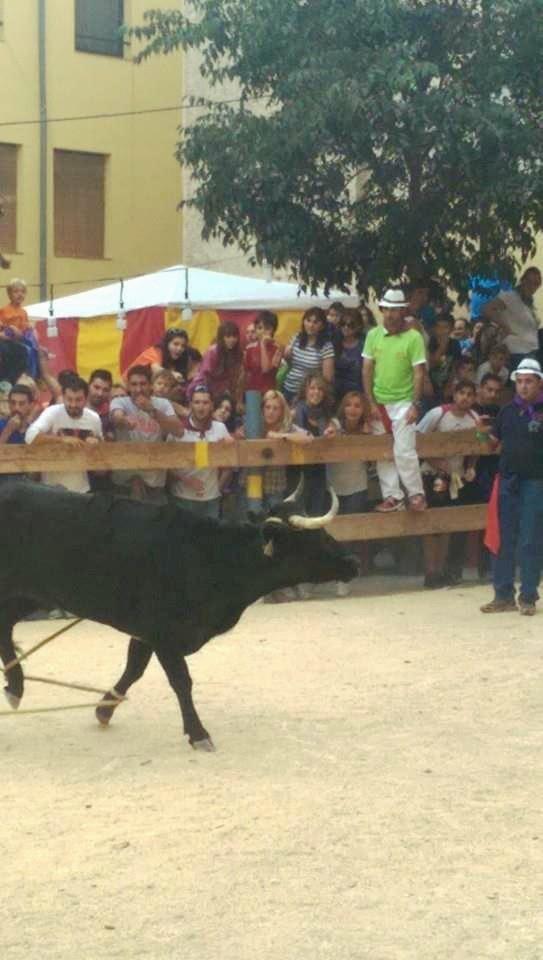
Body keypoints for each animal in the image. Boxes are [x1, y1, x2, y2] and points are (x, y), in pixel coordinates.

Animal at [0, 481, 357, 749]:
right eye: (313, 539)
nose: (352, 562)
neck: (212, 556)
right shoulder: (165, 634)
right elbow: (181, 681)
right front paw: (199, 734)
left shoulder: (147, 633)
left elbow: (134, 668)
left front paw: (105, 708)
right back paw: (16, 686)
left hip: (28, 595)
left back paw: (15, 685)